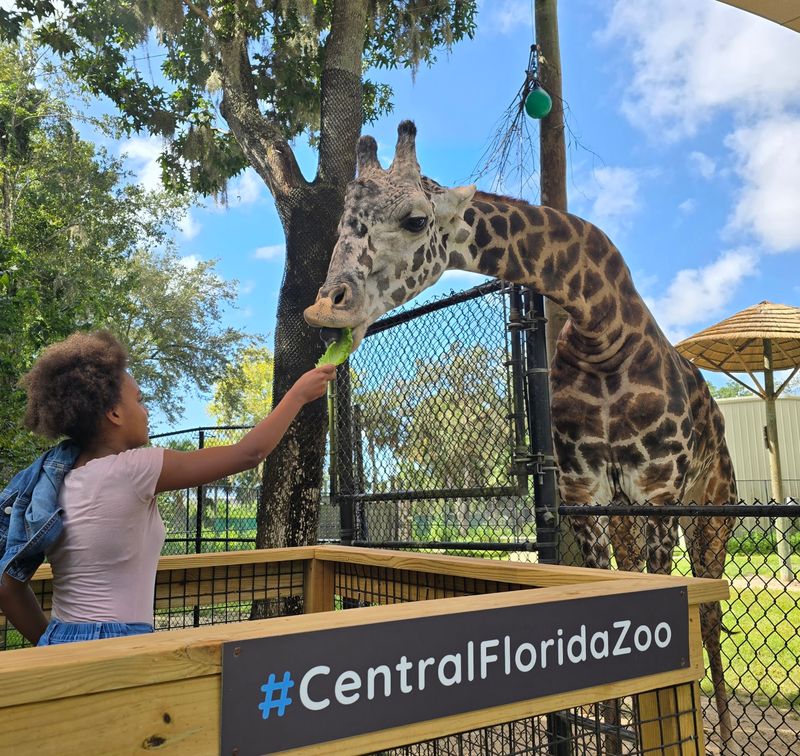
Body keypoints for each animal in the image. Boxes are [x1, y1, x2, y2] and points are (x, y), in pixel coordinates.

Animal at [304, 121, 735, 744]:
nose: (325, 309)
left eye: (415, 220)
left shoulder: (659, 490)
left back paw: (722, 728)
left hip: (709, 510)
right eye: (342, 224)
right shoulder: (585, 493)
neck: (605, 332)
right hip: (627, 513)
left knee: (712, 614)